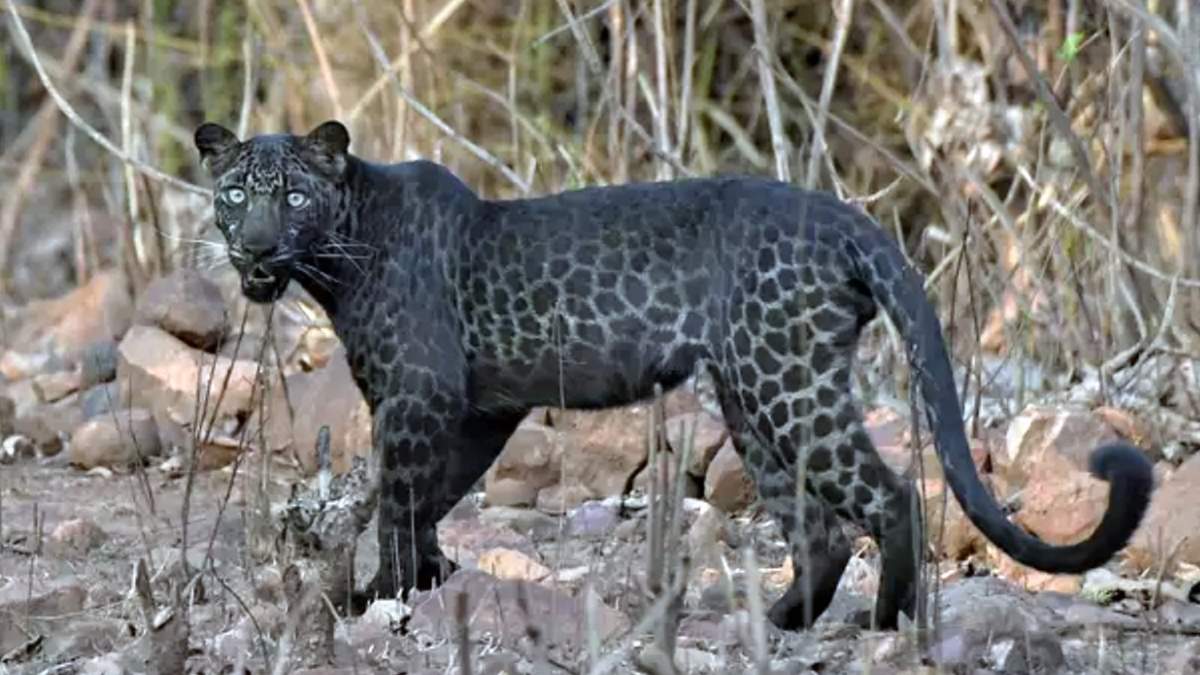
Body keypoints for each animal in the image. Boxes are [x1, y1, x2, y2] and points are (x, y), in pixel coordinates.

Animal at [193, 119, 1154, 630]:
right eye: (235, 192)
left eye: (293, 195)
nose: (255, 247)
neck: (339, 254)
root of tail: (846, 217)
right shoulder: (479, 407)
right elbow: (429, 496)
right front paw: (424, 581)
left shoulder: (419, 396)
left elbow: (397, 497)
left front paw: (381, 595)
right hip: (754, 396)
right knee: (819, 527)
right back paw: (775, 622)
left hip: (785, 383)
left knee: (890, 496)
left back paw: (886, 623)